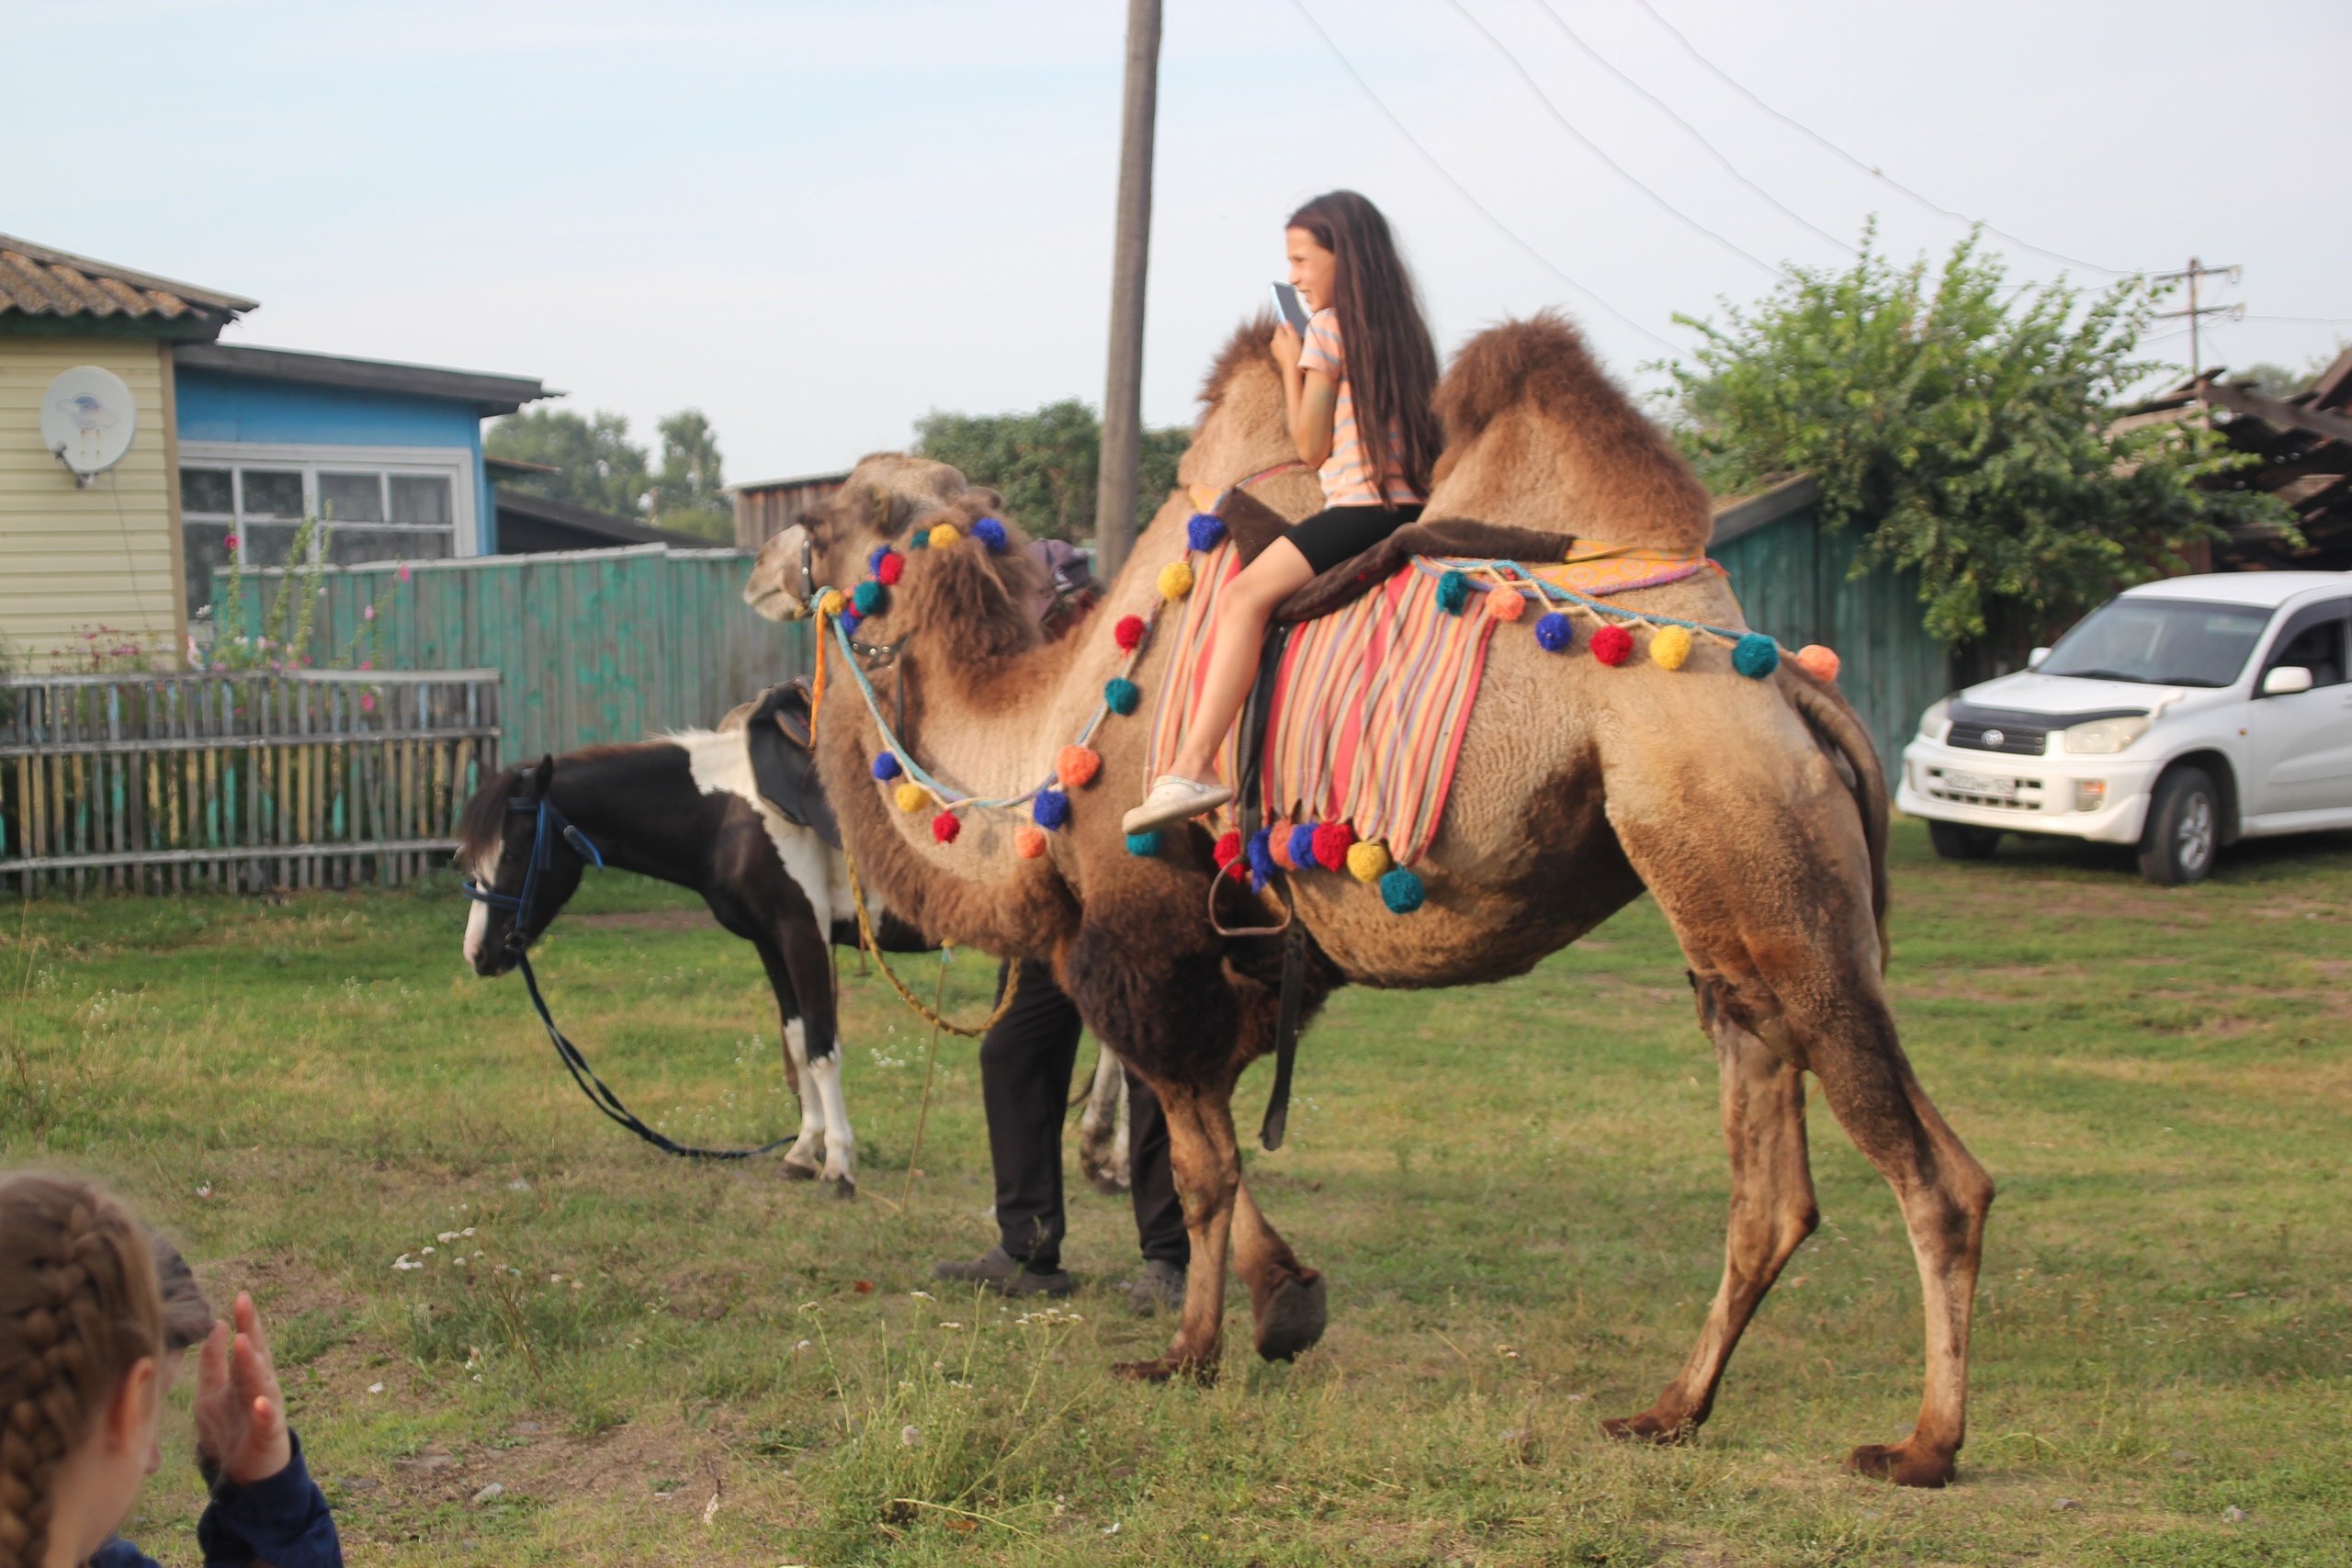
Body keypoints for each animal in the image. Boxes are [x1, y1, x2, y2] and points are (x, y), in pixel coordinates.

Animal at [454, 682, 903, 1189]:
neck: (730, 812)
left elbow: (822, 1049)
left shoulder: (802, 935)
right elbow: (797, 1039)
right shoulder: (771, 942)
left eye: (512, 853)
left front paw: (838, 1164)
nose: (478, 953)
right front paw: (804, 1151)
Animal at [742, 314, 1994, 1485]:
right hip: (1727, 921)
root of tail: (1791, 689)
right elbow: (1215, 1148)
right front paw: (1286, 1306)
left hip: (1761, 867)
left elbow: (1197, 1168)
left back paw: (1922, 1446)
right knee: (1772, 1185)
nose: (762, 563)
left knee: (1938, 1179)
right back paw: (1670, 1412)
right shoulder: (1240, 963)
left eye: (842, 510)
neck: (1053, 740)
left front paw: (1188, 1352)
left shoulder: (1144, 948)